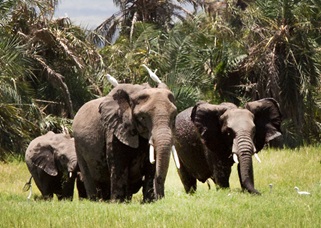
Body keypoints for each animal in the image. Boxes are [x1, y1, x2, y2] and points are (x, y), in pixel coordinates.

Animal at [73, 72, 178, 202]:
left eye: (174, 116)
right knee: (88, 175)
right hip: (78, 145)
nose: (161, 197)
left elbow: (151, 166)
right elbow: (118, 163)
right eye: (143, 117)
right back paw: (97, 200)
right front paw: (117, 202)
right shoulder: (114, 130)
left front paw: (150, 201)